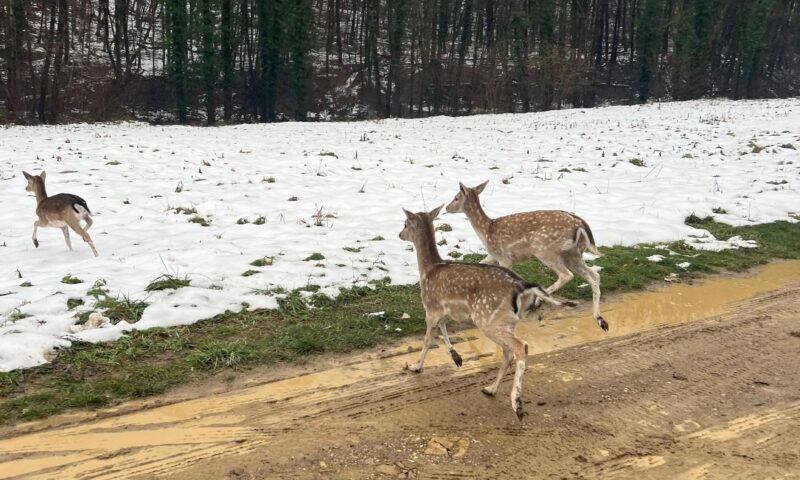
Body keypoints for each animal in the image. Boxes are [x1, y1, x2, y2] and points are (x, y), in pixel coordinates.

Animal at [400, 204, 568, 418]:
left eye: (405, 223)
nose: (399, 234)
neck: (427, 270)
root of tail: (523, 287)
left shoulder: (431, 308)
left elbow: (428, 339)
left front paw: (415, 366)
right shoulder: (447, 312)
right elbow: (444, 331)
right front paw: (457, 358)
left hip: (488, 318)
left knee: (520, 347)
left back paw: (517, 403)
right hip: (507, 321)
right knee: (508, 352)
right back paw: (491, 389)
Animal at [444, 182, 608, 332]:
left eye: (456, 197)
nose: (446, 208)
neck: (486, 232)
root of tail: (581, 224)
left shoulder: (504, 257)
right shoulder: (492, 255)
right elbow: (480, 264)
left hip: (545, 250)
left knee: (567, 275)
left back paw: (538, 301)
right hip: (573, 253)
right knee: (594, 275)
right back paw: (600, 319)